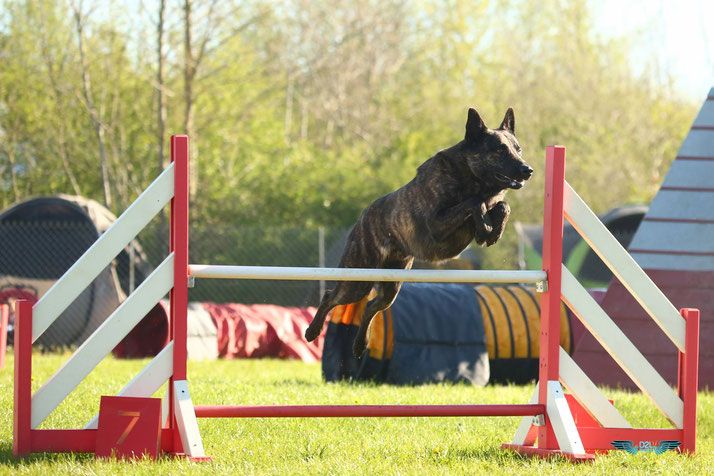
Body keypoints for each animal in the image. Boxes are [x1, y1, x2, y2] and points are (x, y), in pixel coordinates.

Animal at [304, 106, 532, 356]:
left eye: (518, 149)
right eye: (499, 150)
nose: (528, 170)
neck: (470, 177)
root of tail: (364, 215)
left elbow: (502, 206)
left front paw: (494, 230)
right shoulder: (436, 224)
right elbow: (474, 202)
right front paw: (485, 227)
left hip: (390, 287)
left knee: (371, 306)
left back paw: (359, 344)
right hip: (358, 280)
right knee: (330, 296)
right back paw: (313, 331)